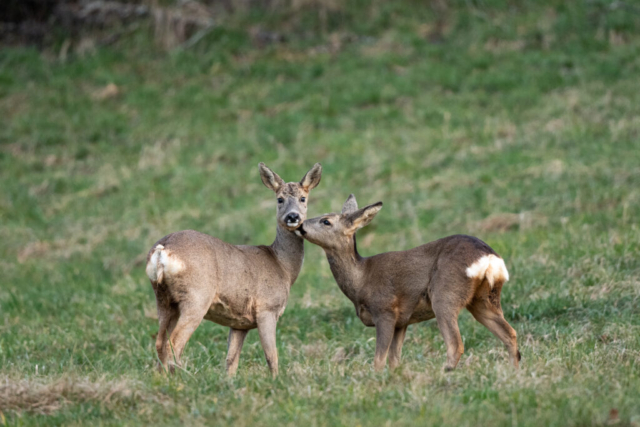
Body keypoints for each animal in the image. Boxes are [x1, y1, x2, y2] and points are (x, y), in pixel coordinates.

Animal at [147, 162, 322, 376]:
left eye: (303, 198)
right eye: (279, 199)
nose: (293, 216)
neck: (283, 266)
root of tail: (162, 249)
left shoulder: (239, 322)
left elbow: (231, 361)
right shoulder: (267, 308)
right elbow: (272, 356)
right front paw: (276, 380)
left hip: (163, 298)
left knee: (160, 343)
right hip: (196, 297)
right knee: (174, 344)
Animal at [298, 196, 520, 372]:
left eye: (326, 221)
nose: (300, 225)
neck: (361, 281)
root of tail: (489, 258)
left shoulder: (385, 310)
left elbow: (379, 360)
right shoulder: (402, 321)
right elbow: (394, 360)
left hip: (445, 294)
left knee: (456, 344)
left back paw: (444, 373)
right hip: (484, 298)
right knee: (510, 333)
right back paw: (513, 372)